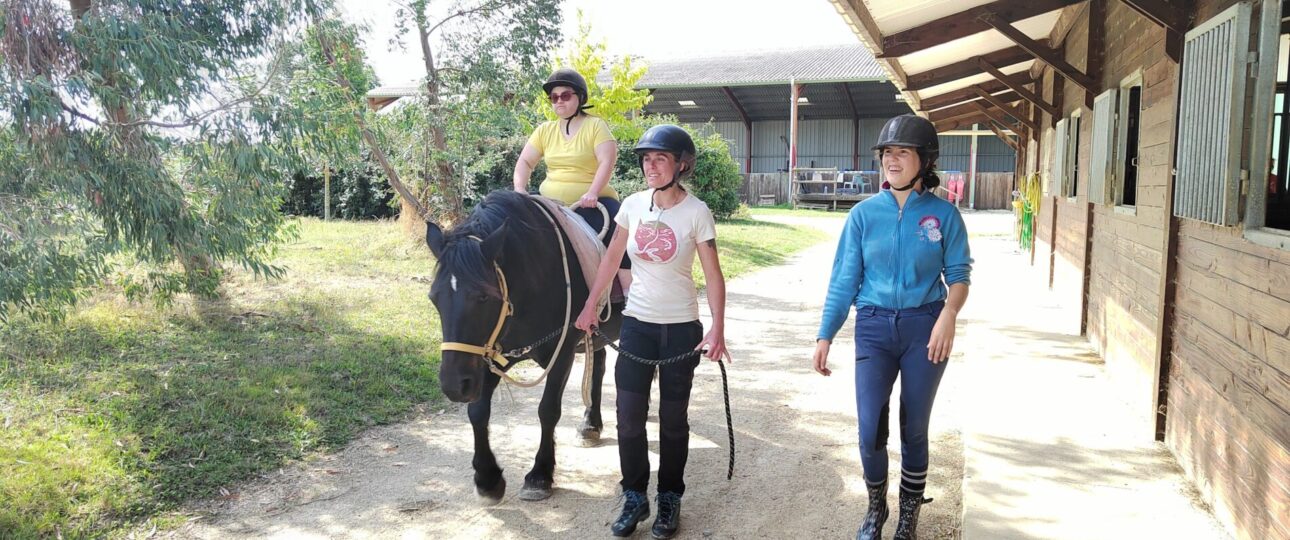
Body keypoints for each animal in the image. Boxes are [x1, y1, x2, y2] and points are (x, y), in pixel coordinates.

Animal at [423, 190, 624, 502]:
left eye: (484, 297)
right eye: (434, 297)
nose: (454, 385)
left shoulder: (563, 352)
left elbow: (548, 410)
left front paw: (540, 475)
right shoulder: (487, 353)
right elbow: (477, 411)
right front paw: (487, 478)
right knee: (598, 368)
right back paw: (590, 424)